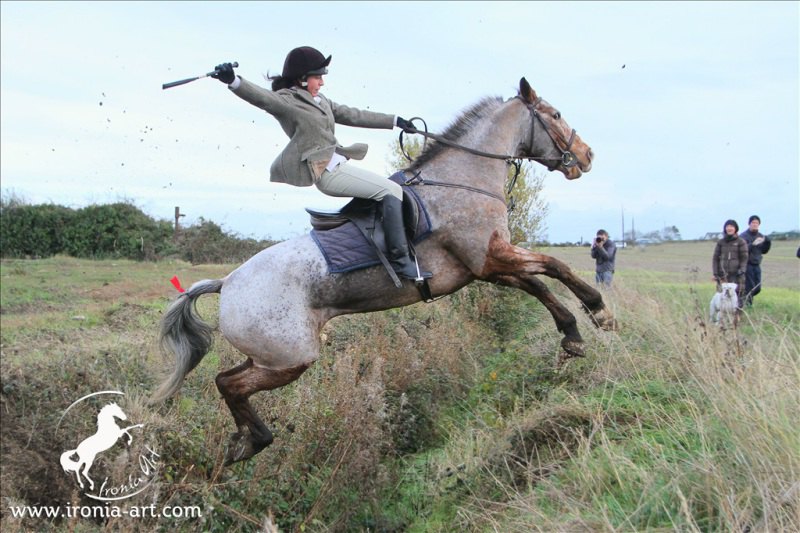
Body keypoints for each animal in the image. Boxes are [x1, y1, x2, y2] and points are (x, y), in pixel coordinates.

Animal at [153, 77, 616, 464]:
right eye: (555, 114)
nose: (588, 156)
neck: (460, 180)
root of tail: (227, 283)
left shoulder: (483, 266)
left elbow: (538, 284)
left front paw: (573, 335)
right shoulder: (490, 258)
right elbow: (554, 267)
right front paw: (599, 311)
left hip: (269, 357)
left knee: (228, 379)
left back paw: (244, 442)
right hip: (291, 358)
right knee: (228, 384)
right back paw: (254, 442)